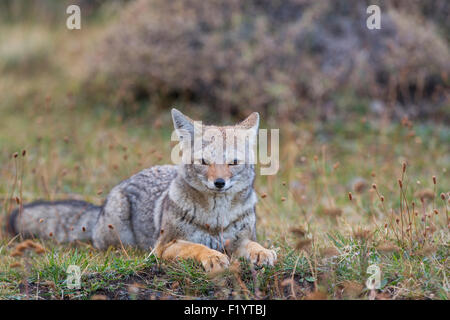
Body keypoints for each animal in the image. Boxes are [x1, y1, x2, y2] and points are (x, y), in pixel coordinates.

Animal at [9, 109, 278, 272]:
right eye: (204, 162)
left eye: (233, 163)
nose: (219, 183)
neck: (216, 219)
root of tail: (103, 205)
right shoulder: (163, 246)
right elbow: (196, 247)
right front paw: (212, 256)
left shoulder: (239, 239)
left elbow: (252, 245)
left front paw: (263, 252)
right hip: (119, 237)